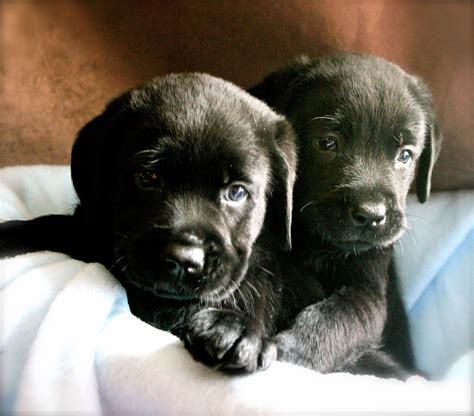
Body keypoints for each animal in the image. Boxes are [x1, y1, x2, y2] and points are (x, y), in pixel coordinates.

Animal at [0, 72, 324, 374]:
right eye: (147, 177)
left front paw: (236, 329)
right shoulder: (89, 227)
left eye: (236, 192)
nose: (185, 260)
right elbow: (49, 225)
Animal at [250, 51, 442, 376]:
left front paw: (294, 351)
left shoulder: (369, 291)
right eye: (327, 143)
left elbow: (342, 319)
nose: (371, 215)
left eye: (405, 155)